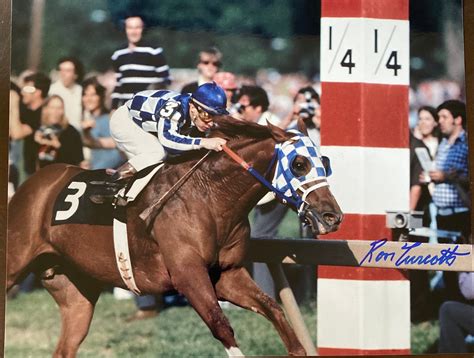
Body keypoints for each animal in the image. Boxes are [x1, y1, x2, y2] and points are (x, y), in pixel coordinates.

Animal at [5, 116, 342, 356]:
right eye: (299, 163)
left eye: (324, 161)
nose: (332, 216)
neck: (209, 196)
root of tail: (34, 181)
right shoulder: (187, 275)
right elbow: (222, 326)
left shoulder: (227, 275)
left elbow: (274, 310)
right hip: (14, 264)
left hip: (77, 293)